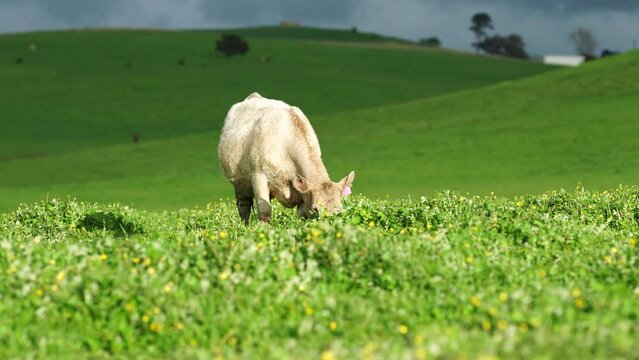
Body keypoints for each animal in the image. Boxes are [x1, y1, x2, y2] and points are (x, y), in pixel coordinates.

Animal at [219, 91, 356, 224]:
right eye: (315, 209)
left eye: (340, 210)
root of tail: (254, 96)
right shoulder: (258, 175)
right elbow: (264, 212)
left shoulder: (303, 195)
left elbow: (302, 216)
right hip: (240, 182)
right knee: (244, 206)